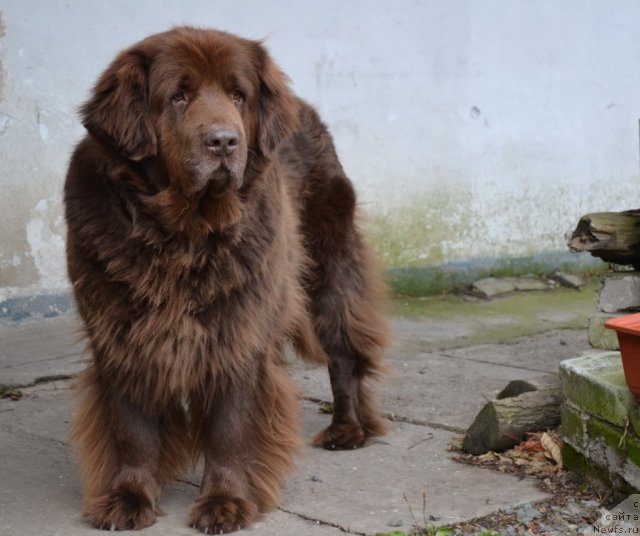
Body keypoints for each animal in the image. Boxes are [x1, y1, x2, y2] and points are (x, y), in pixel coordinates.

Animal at [62, 27, 388, 532]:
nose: (224, 141)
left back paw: (347, 427)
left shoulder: (238, 332)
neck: (183, 234)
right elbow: (132, 427)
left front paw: (225, 501)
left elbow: (230, 425)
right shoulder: (119, 333)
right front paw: (129, 498)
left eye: (239, 95)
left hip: (328, 274)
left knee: (344, 353)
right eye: (178, 96)